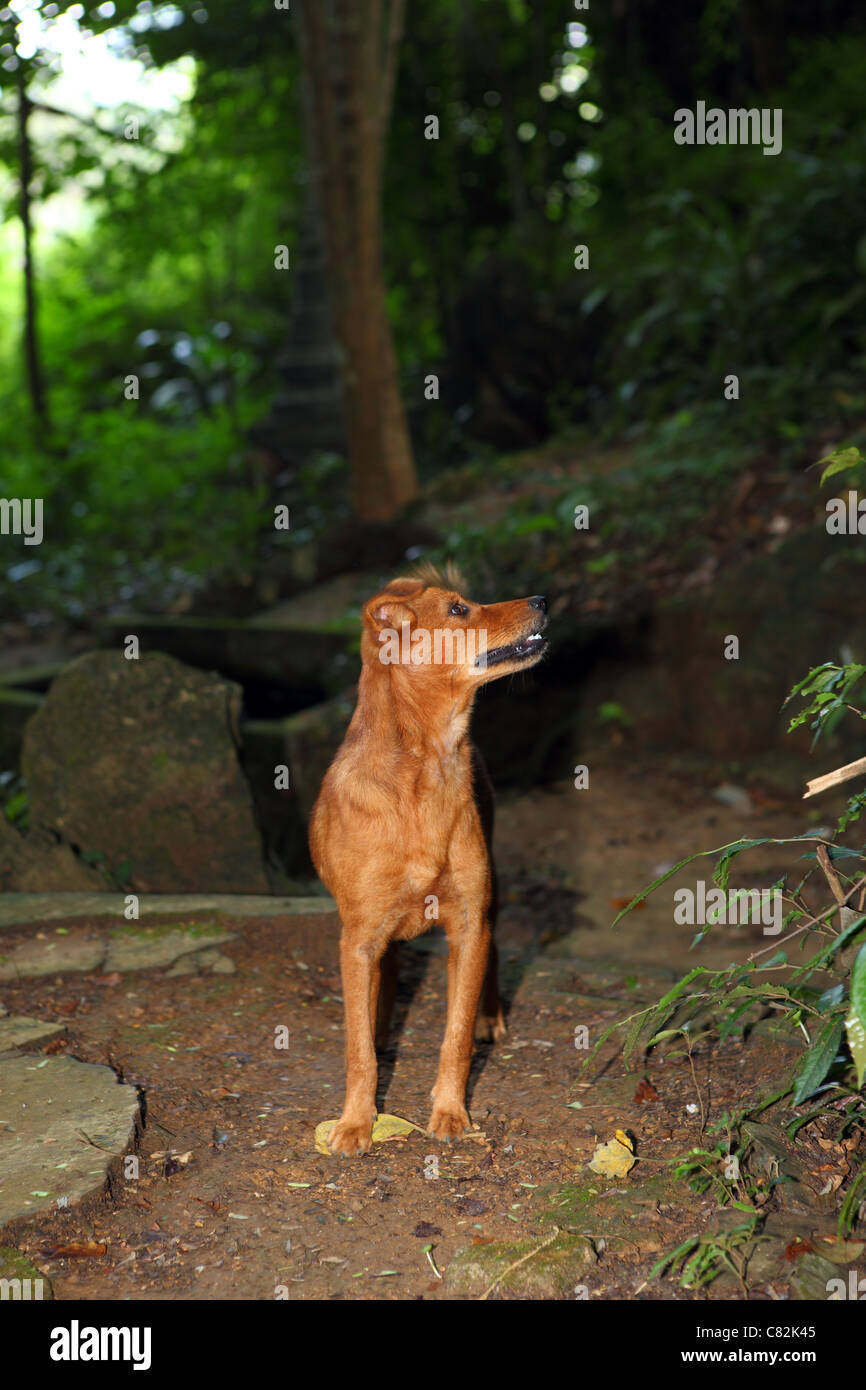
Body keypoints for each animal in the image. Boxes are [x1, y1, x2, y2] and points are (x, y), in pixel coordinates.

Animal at [309, 561, 547, 1150]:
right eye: (459, 609)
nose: (543, 600)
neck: (426, 770)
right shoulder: (358, 939)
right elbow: (358, 1052)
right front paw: (356, 1122)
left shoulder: (467, 923)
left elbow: (454, 1037)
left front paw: (449, 1112)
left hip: (491, 897)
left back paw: (490, 1018)